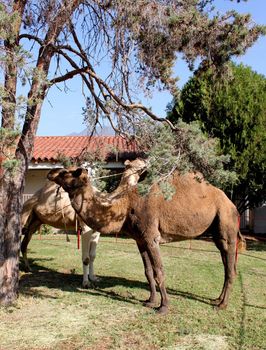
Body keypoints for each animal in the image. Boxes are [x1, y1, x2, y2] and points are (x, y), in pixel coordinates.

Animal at [20, 159, 145, 288]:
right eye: (134, 165)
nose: (144, 162)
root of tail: (30, 200)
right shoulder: (86, 229)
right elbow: (86, 258)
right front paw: (86, 282)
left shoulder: (96, 231)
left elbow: (93, 256)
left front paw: (94, 278)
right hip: (24, 215)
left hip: (35, 222)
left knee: (24, 244)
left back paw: (28, 268)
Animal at [47, 161, 245, 314]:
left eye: (66, 172)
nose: (51, 172)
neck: (125, 206)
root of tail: (233, 205)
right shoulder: (140, 240)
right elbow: (148, 272)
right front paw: (150, 301)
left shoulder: (151, 237)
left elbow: (159, 272)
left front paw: (163, 307)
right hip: (218, 234)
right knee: (227, 266)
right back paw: (217, 299)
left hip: (226, 223)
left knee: (230, 268)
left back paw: (222, 305)